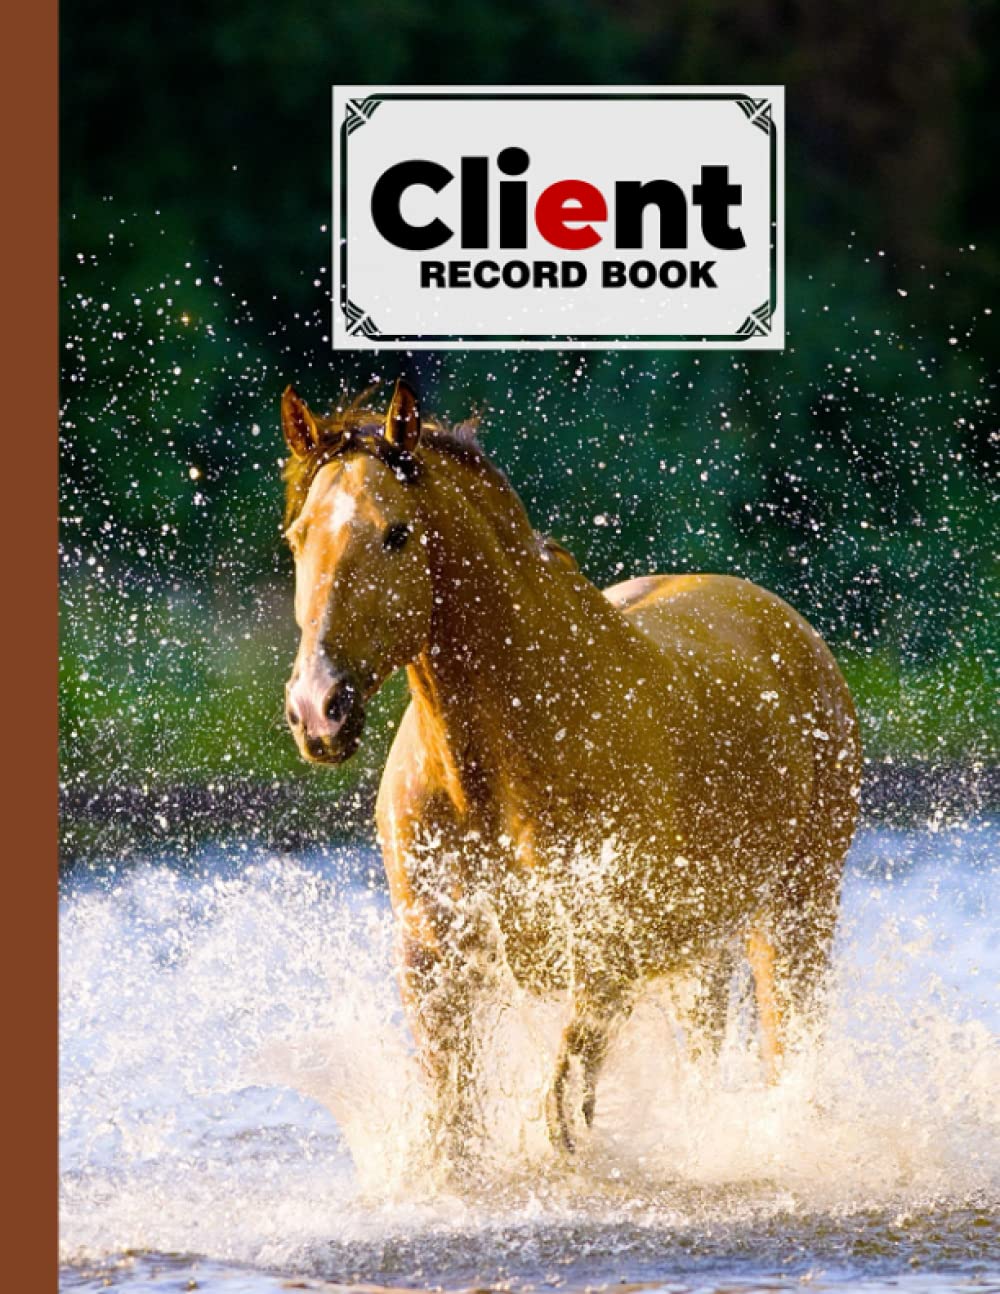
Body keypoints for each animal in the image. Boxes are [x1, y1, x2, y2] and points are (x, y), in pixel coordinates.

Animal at [280, 378, 862, 1155]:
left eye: (396, 532)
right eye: (298, 535)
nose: (318, 710)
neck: (497, 767)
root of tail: (796, 632)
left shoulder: (606, 961)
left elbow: (563, 1117)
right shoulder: (435, 967)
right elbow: (455, 1132)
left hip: (796, 916)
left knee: (786, 1051)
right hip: (704, 951)